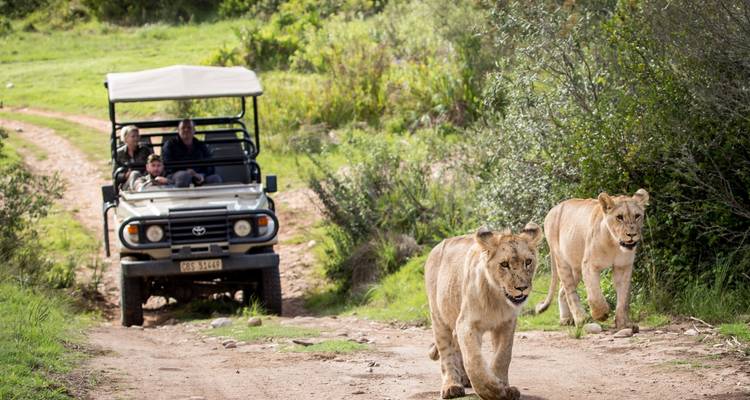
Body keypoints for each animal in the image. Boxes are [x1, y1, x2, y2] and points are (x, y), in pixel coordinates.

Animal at [425, 223, 543, 400]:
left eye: (528, 262)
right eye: (504, 264)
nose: (522, 288)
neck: (498, 298)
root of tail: (435, 248)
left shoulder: (506, 324)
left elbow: (503, 356)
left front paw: (505, 388)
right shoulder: (466, 324)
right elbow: (474, 360)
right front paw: (492, 390)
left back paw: (464, 379)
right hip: (438, 317)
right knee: (446, 353)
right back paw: (452, 386)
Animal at [535, 189, 649, 330]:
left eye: (637, 216)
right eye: (619, 217)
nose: (632, 234)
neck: (614, 244)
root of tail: (553, 209)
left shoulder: (623, 266)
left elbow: (623, 299)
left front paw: (624, 324)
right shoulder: (589, 265)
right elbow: (595, 295)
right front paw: (601, 314)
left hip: (576, 268)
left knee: (562, 290)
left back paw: (566, 319)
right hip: (561, 260)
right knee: (570, 292)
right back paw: (581, 319)